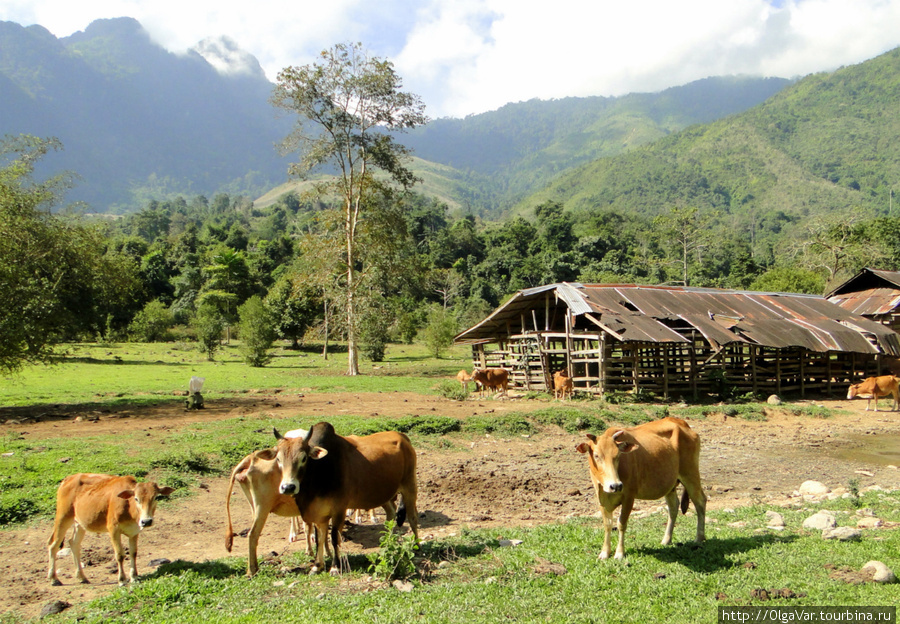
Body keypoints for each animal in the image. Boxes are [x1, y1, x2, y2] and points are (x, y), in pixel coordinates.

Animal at [48, 476, 176, 588]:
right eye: (136, 498)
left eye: (156, 497)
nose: (146, 521)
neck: (129, 508)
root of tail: (67, 479)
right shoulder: (113, 529)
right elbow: (119, 555)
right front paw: (122, 580)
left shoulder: (134, 531)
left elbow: (133, 553)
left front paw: (134, 577)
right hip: (63, 517)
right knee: (53, 544)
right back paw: (54, 578)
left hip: (80, 523)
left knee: (74, 543)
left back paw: (82, 577)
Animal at [274, 424, 418, 576]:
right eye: (278, 459)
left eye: (303, 458)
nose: (288, 487)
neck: (320, 471)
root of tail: (402, 436)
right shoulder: (319, 514)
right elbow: (319, 539)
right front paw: (317, 566)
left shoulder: (339, 510)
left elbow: (334, 537)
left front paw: (335, 567)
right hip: (384, 494)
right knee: (391, 514)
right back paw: (387, 543)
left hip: (409, 486)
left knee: (413, 518)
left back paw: (415, 546)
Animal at [576, 420, 704, 560]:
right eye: (596, 455)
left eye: (618, 455)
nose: (615, 486)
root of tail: (682, 423)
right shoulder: (601, 497)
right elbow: (607, 524)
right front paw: (604, 552)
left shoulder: (629, 497)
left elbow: (621, 524)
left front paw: (619, 553)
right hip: (670, 484)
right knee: (674, 507)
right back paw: (666, 540)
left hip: (690, 474)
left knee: (700, 501)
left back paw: (699, 538)